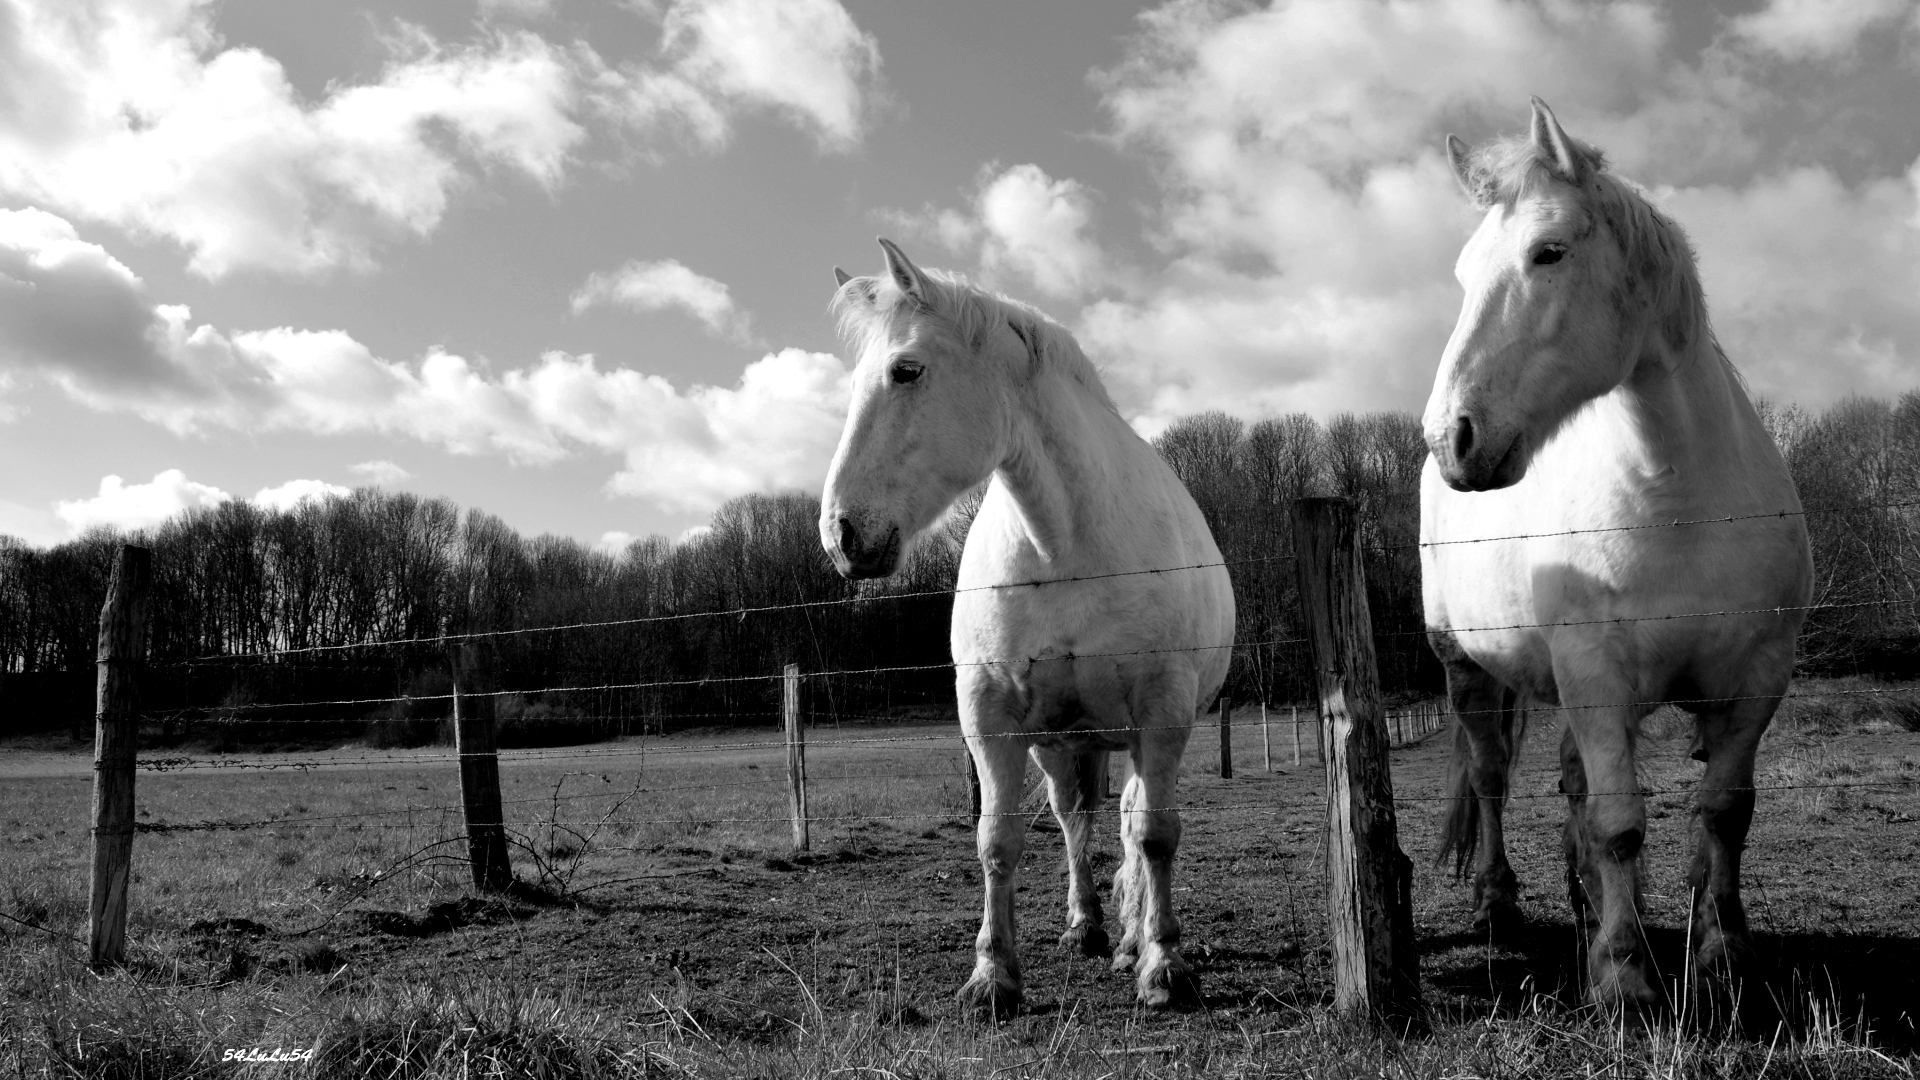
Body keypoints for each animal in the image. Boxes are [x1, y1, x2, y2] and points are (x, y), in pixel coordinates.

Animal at [817, 239, 1236, 1014]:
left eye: (906, 370)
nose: (842, 535)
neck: (1062, 547)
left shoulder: (1162, 712)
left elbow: (1155, 835)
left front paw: (1164, 965)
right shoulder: (991, 717)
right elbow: (997, 841)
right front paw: (993, 977)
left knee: (1130, 819)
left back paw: (1132, 939)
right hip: (1060, 739)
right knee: (1077, 819)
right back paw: (1088, 927)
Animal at [1428, 98, 1812, 999]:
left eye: (1548, 252)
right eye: (1463, 273)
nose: (1452, 438)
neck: (1678, 503)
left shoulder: (1756, 681)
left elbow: (1723, 813)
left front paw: (1720, 949)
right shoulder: (1595, 675)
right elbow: (1618, 822)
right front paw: (1624, 972)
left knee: (1572, 783)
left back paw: (1586, 907)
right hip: (1465, 667)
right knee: (1493, 777)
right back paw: (1503, 905)